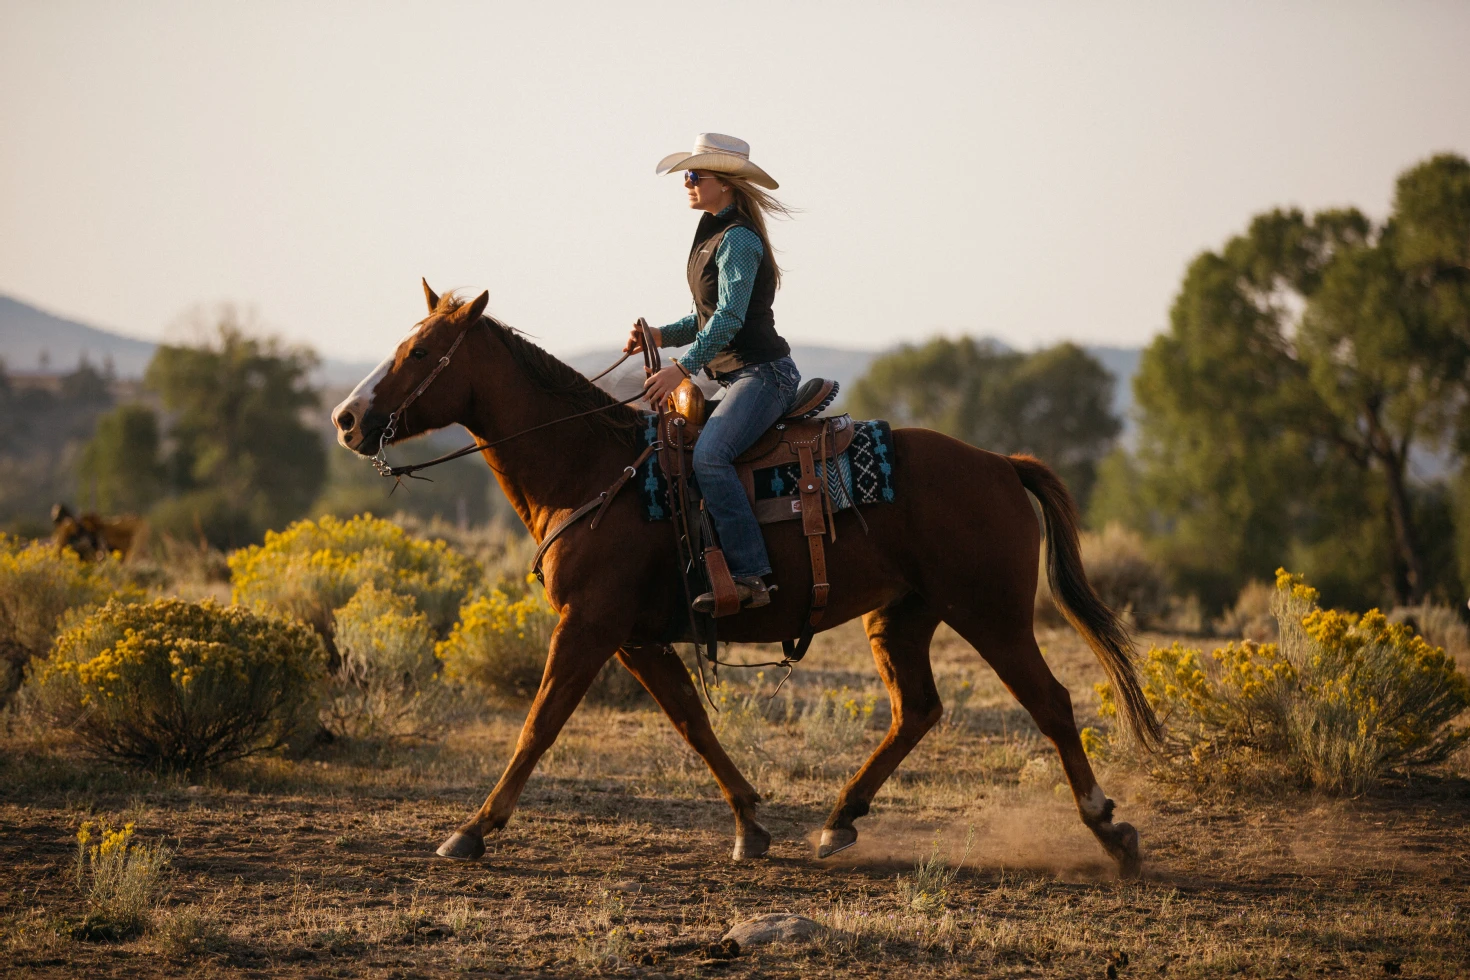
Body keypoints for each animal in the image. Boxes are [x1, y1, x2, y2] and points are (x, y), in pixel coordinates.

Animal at [333, 283, 1158, 875]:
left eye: (421, 352)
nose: (345, 418)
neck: (592, 471)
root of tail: (998, 463)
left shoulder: (589, 626)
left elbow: (539, 724)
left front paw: (472, 829)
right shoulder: (635, 638)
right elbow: (692, 722)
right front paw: (752, 824)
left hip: (990, 613)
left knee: (1050, 703)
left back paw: (1110, 830)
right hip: (901, 617)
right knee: (917, 710)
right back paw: (838, 821)